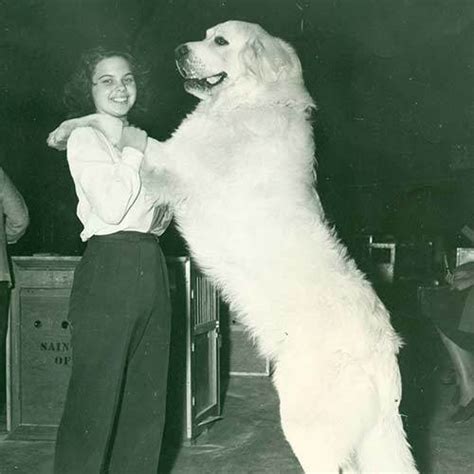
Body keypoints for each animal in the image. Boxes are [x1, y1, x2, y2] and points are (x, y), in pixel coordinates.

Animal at [49, 20, 418, 472]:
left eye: (221, 41)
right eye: (206, 35)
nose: (178, 49)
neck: (251, 102)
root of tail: (385, 352)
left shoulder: (171, 162)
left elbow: (119, 129)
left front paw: (72, 129)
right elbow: (106, 122)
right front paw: (64, 131)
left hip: (309, 425)